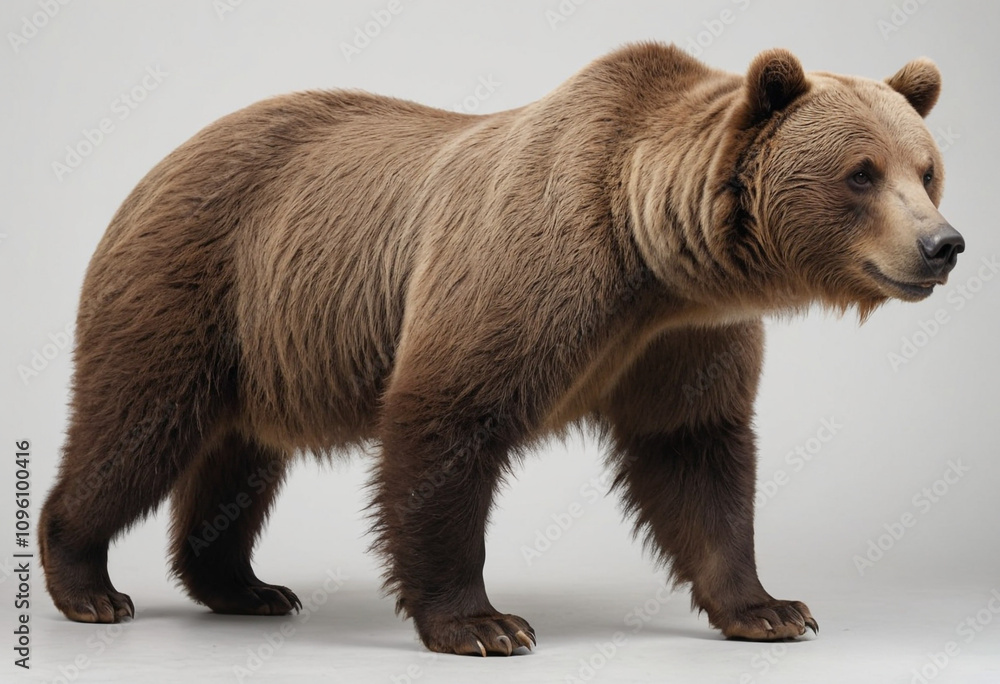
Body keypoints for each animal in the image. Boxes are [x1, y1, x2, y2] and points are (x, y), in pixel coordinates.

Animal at [39, 43, 964, 656]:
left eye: (926, 169)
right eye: (861, 172)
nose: (944, 244)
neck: (651, 260)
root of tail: (160, 164)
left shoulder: (682, 338)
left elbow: (696, 454)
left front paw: (769, 608)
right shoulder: (528, 268)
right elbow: (448, 422)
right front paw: (483, 623)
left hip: (265, 343)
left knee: (238, 459)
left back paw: (245, 585)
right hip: (192, 283)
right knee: (135, 430)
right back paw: (88, 584)